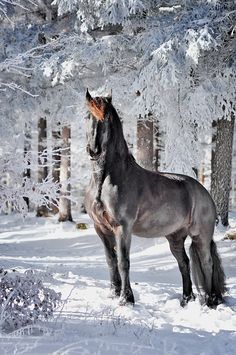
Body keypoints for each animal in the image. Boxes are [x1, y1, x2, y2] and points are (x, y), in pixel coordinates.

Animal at [84, 89, 225, 308]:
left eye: (106, 117)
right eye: (87, 116)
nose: (94, 150)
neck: (106, 179)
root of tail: (204, 192)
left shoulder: (122, 228)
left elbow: (123, 262)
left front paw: (126, 299)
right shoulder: (101, 228)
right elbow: (110, 261)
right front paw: (114, 294)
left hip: (200, 235)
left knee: (207, 263)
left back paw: (209, 302)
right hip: (175, 237)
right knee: (184, 263)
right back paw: (186, 299)